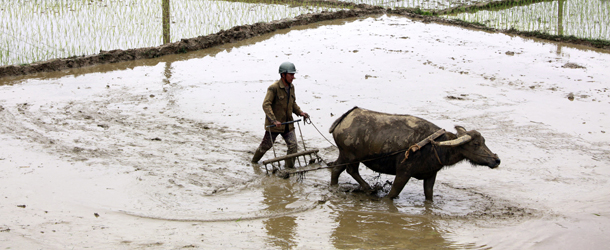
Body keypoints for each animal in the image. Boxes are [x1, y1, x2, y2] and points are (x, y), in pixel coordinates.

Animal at [328, 106, 498, 200]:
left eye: (484, 141)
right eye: (475, 144)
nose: (496, 160)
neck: (434, 146)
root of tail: (345, 117)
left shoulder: (431, 175)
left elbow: (429, 194)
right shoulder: (403, 172)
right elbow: (393, 193)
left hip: (347, 155)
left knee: (339, 169)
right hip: (349, 155)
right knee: (346, 169)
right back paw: (368, 188)